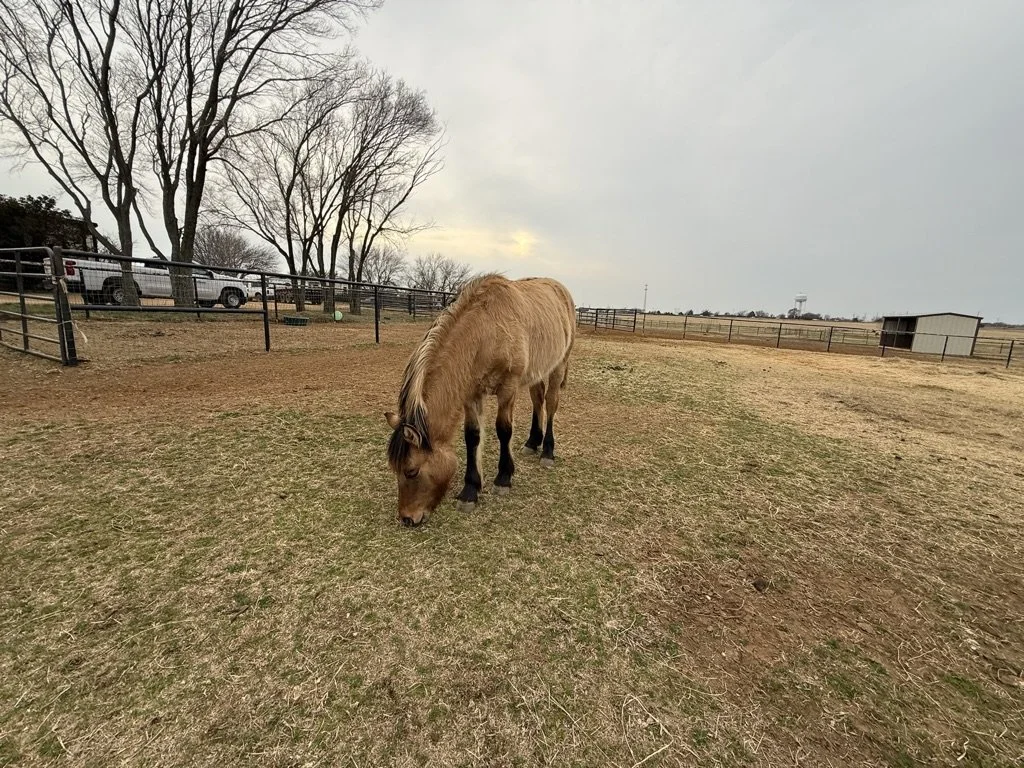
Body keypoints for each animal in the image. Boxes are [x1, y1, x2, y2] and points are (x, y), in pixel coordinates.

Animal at [385, 274, 576, 526]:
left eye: (411, 471)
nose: (407, 518)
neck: (487, 331)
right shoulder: (471, 394)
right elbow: (472, 436)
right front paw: (470, 491)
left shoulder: (508, 388)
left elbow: (504, 430)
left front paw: (503, 478)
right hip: (537, 371)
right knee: (538, 400)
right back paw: (532, 442)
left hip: (558, 365)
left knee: (551, 403)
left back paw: (547, 452)